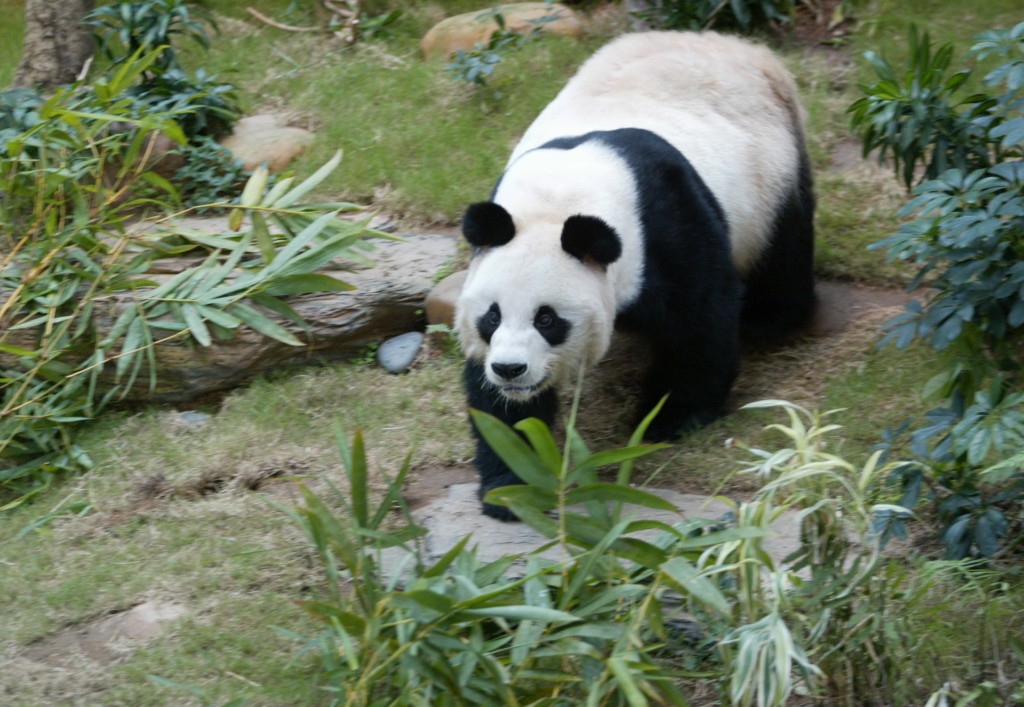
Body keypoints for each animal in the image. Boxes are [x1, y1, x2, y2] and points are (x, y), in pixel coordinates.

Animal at [456, 31, 815, 518]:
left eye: (547, 319)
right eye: (491, 317)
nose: (511, 369)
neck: (557, 202)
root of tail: (744, 48)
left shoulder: (666, 222)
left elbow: (700, 319)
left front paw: (670, 418)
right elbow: (496, 405)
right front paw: (514, 482)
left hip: (773, 175)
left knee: (783, 252)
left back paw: (771, 318)